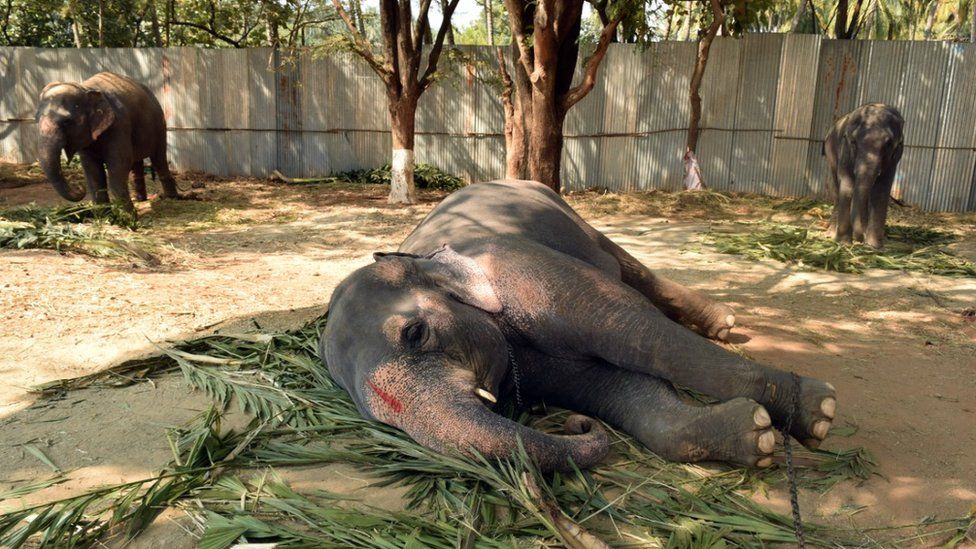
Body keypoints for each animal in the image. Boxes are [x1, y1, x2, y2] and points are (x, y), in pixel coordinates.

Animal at [35, 71, 180, 214]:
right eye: (36, 119)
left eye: (67, 122)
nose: (80, 188)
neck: (85, 88)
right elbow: (91, 168)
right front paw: (105, 216)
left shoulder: (119, 124)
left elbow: (119, 163)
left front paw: (128, 217)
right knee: (136, 162)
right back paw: (140, 199)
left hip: (159, 124)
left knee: (159, 158)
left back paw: (171, 198)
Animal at [319, 180, 837, 472]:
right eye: (381, 421)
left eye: (415, 334)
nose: (577, 426)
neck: (419, 255)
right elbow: (615, 388)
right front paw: (757, 435)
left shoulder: (525, 272)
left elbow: (633, 332)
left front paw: (818, 413)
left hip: (576, 218)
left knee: (633, 273)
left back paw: (725, 325)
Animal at [823, 103, 905, 249]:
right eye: (854, 142)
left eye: (888, 144)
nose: (860, 239)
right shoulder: (845, 149)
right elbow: (847, 184)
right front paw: (844, 243)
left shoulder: (895, 157)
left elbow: (881, 190)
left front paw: (874, 246)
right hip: (830, 153)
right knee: (837, 188)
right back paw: (832, 234)